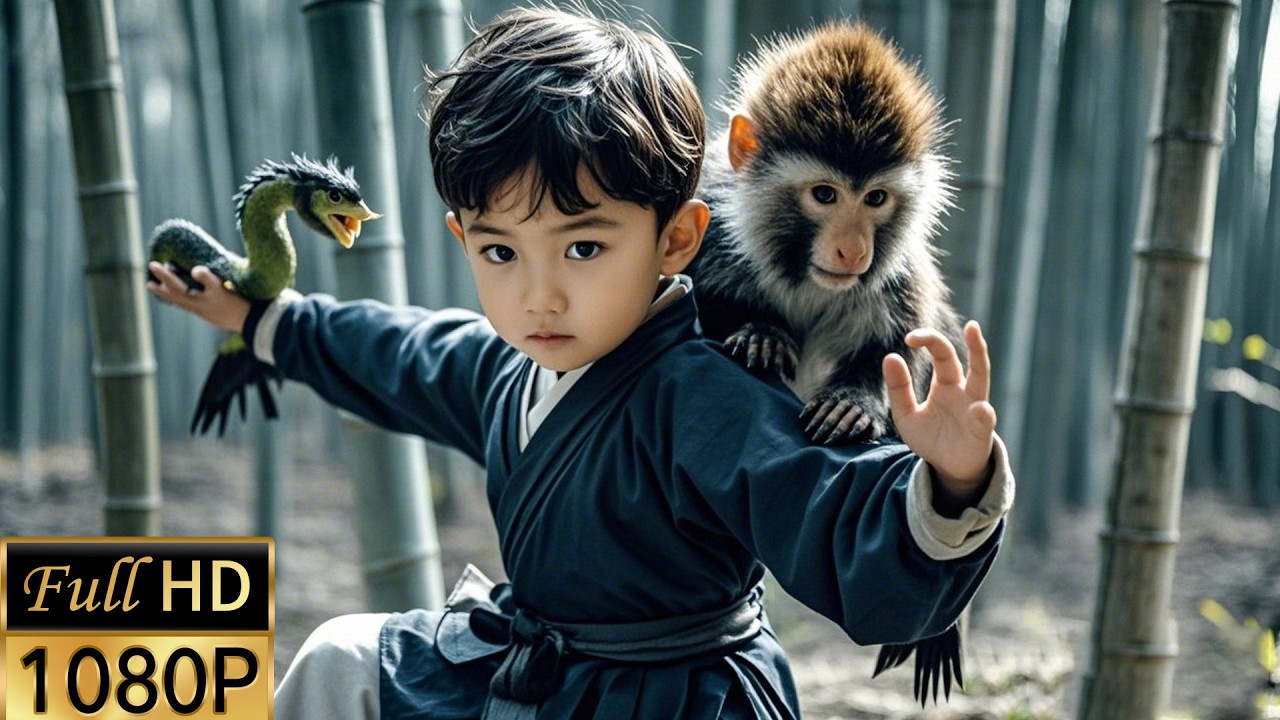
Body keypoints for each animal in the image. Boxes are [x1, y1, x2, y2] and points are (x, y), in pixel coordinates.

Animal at [688, 22, 966, 446]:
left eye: (875, 197)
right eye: (824, 194)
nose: (853, 251)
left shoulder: (899, 275)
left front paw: (855, 399)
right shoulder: (712, 219)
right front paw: (762, 332)